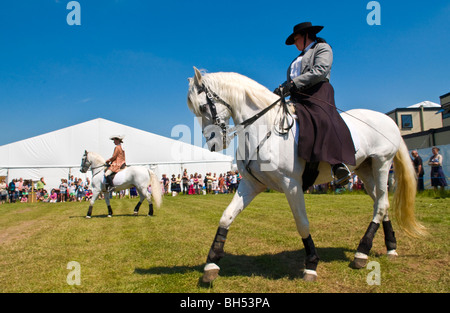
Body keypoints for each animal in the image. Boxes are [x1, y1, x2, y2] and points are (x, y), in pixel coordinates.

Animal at [186, 67, 426, 282]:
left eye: (203, 107)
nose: (214, 145)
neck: (264, 129)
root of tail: (389, 120)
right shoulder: (251, 185)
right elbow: (226, 217)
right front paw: (211, 263)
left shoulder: (291, 184)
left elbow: (302, 223)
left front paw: (311, 264)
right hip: (365, 171)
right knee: (380, 203)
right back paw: (390, 247)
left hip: (382, 164)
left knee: (382, 203)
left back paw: (361, 252)